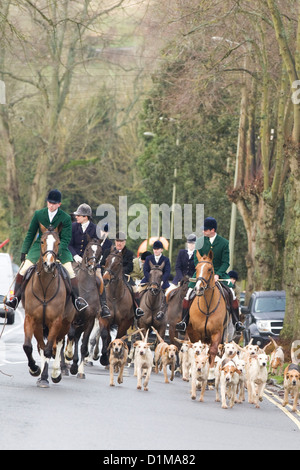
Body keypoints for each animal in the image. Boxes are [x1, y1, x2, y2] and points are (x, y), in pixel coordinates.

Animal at [22, 224, 75, 390]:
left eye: (58, 243)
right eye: (42, 241)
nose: (49, 265)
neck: (45, 285)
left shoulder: (56, 321)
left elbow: (49, 349)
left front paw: (47, 376)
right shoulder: (31, 318)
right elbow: (29, 346)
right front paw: (34, 369)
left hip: (65, 324)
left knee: (58, 344)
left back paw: (56, 373)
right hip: (40, 325)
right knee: (41, 345)